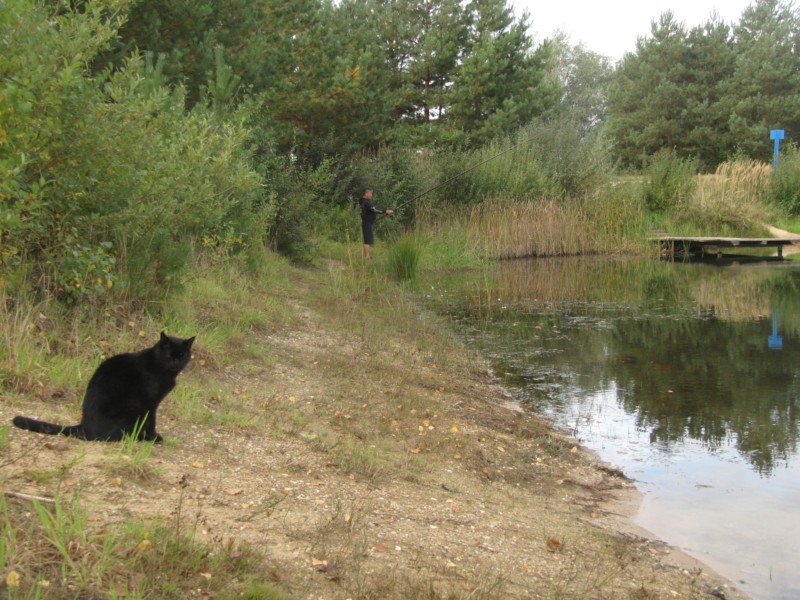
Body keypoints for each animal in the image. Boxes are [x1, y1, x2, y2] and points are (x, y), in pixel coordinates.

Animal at [13, 330, 195, 442]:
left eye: (182, 355)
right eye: (169, 355)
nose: (176, 362)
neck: (162, 369)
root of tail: (84, 426)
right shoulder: (150, 404)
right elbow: (151, 422)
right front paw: (154, 437)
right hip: (132, 409)